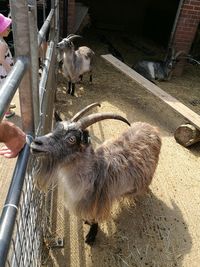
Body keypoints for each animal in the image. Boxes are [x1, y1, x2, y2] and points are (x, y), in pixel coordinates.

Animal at [30, 103, 162, 246]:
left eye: (71, 139)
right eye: (55, 128)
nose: (36, 142)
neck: (94, 173)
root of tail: (151, 127)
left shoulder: (99, 202)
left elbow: (95, 219)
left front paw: (91, 236)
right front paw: (87, 222)